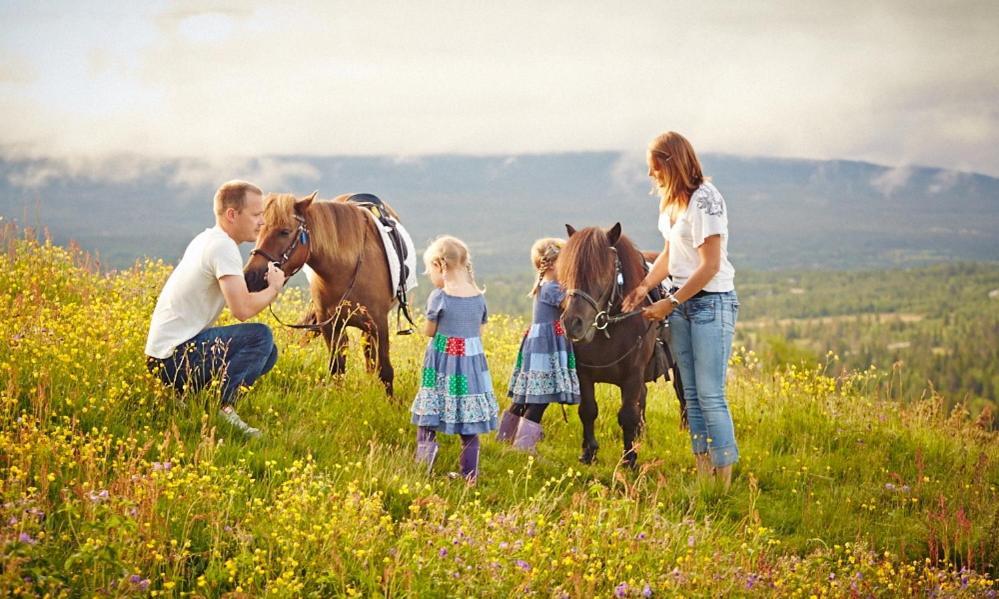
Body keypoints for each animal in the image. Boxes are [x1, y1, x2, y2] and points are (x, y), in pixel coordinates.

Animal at [246, 192, 402, 396]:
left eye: (285, 232)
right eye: (259, 230)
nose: (250, 277)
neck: (346, 270)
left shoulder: (379, 325)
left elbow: (386, 372)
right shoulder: (329, 326)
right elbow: (337, 369)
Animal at [560, 224, 660, 468]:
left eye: (601, 273)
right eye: (570, 271)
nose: (572, 323)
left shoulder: (633, 376)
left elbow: (628, 415)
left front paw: (629, 459)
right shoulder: (584, 373)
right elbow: (588, 410)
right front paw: (589, 452)